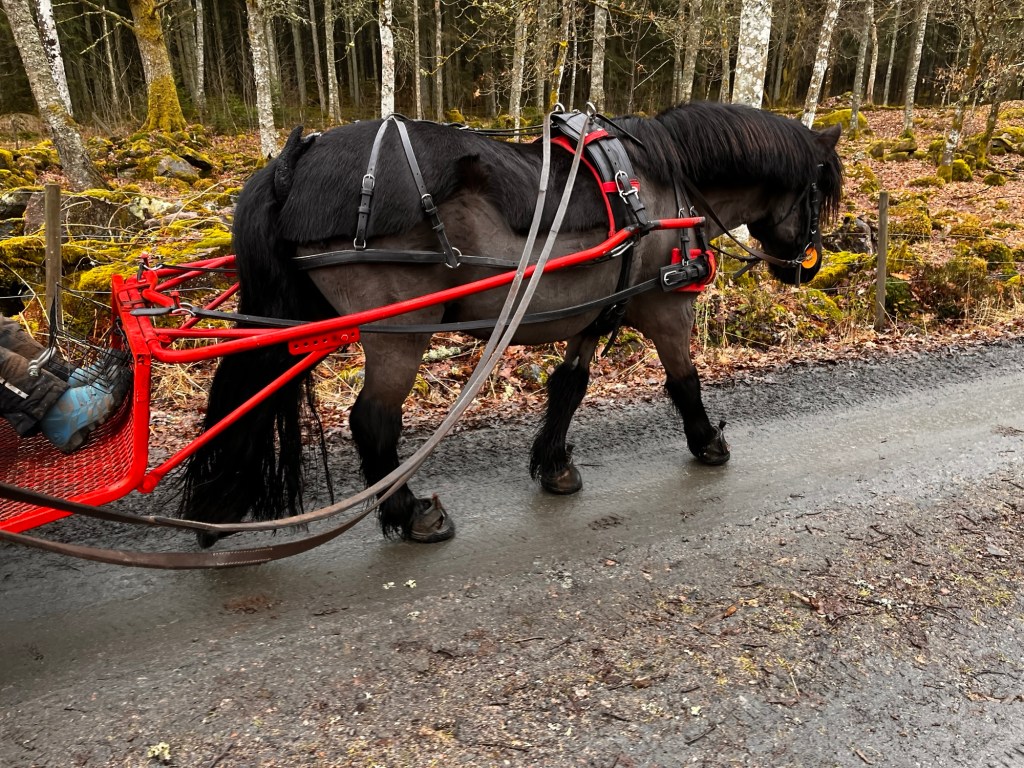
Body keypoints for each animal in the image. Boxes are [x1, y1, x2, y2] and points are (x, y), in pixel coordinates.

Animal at [179, 101, 843, 546]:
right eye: (820, 194)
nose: (803, 268)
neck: (659, 183)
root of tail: (295, 159)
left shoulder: (594, 310)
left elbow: (569, 388)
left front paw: (553, 465)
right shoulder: (665, 308)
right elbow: (685, 382)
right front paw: (707, 442)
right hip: (399, 331)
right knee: (372, 421)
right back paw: (409, 513)